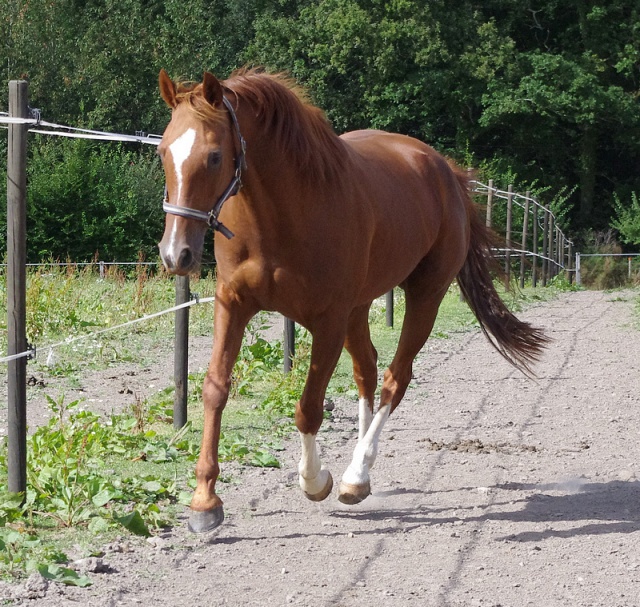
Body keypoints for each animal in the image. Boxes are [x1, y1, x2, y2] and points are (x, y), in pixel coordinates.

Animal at [156, 67, 544, 532]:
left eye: (214, 156)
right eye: (163, 152)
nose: (175, 255)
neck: (283, 216)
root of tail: (446, 171)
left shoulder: (328, 320)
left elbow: (308, 407)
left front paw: (315, 480)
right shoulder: (233, 304)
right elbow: (216, 388)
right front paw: (204, 502)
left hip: (424, 295)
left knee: (395, 377)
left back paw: (356, 477)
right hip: (360, 309)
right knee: (367, 371)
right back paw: (360, 472)